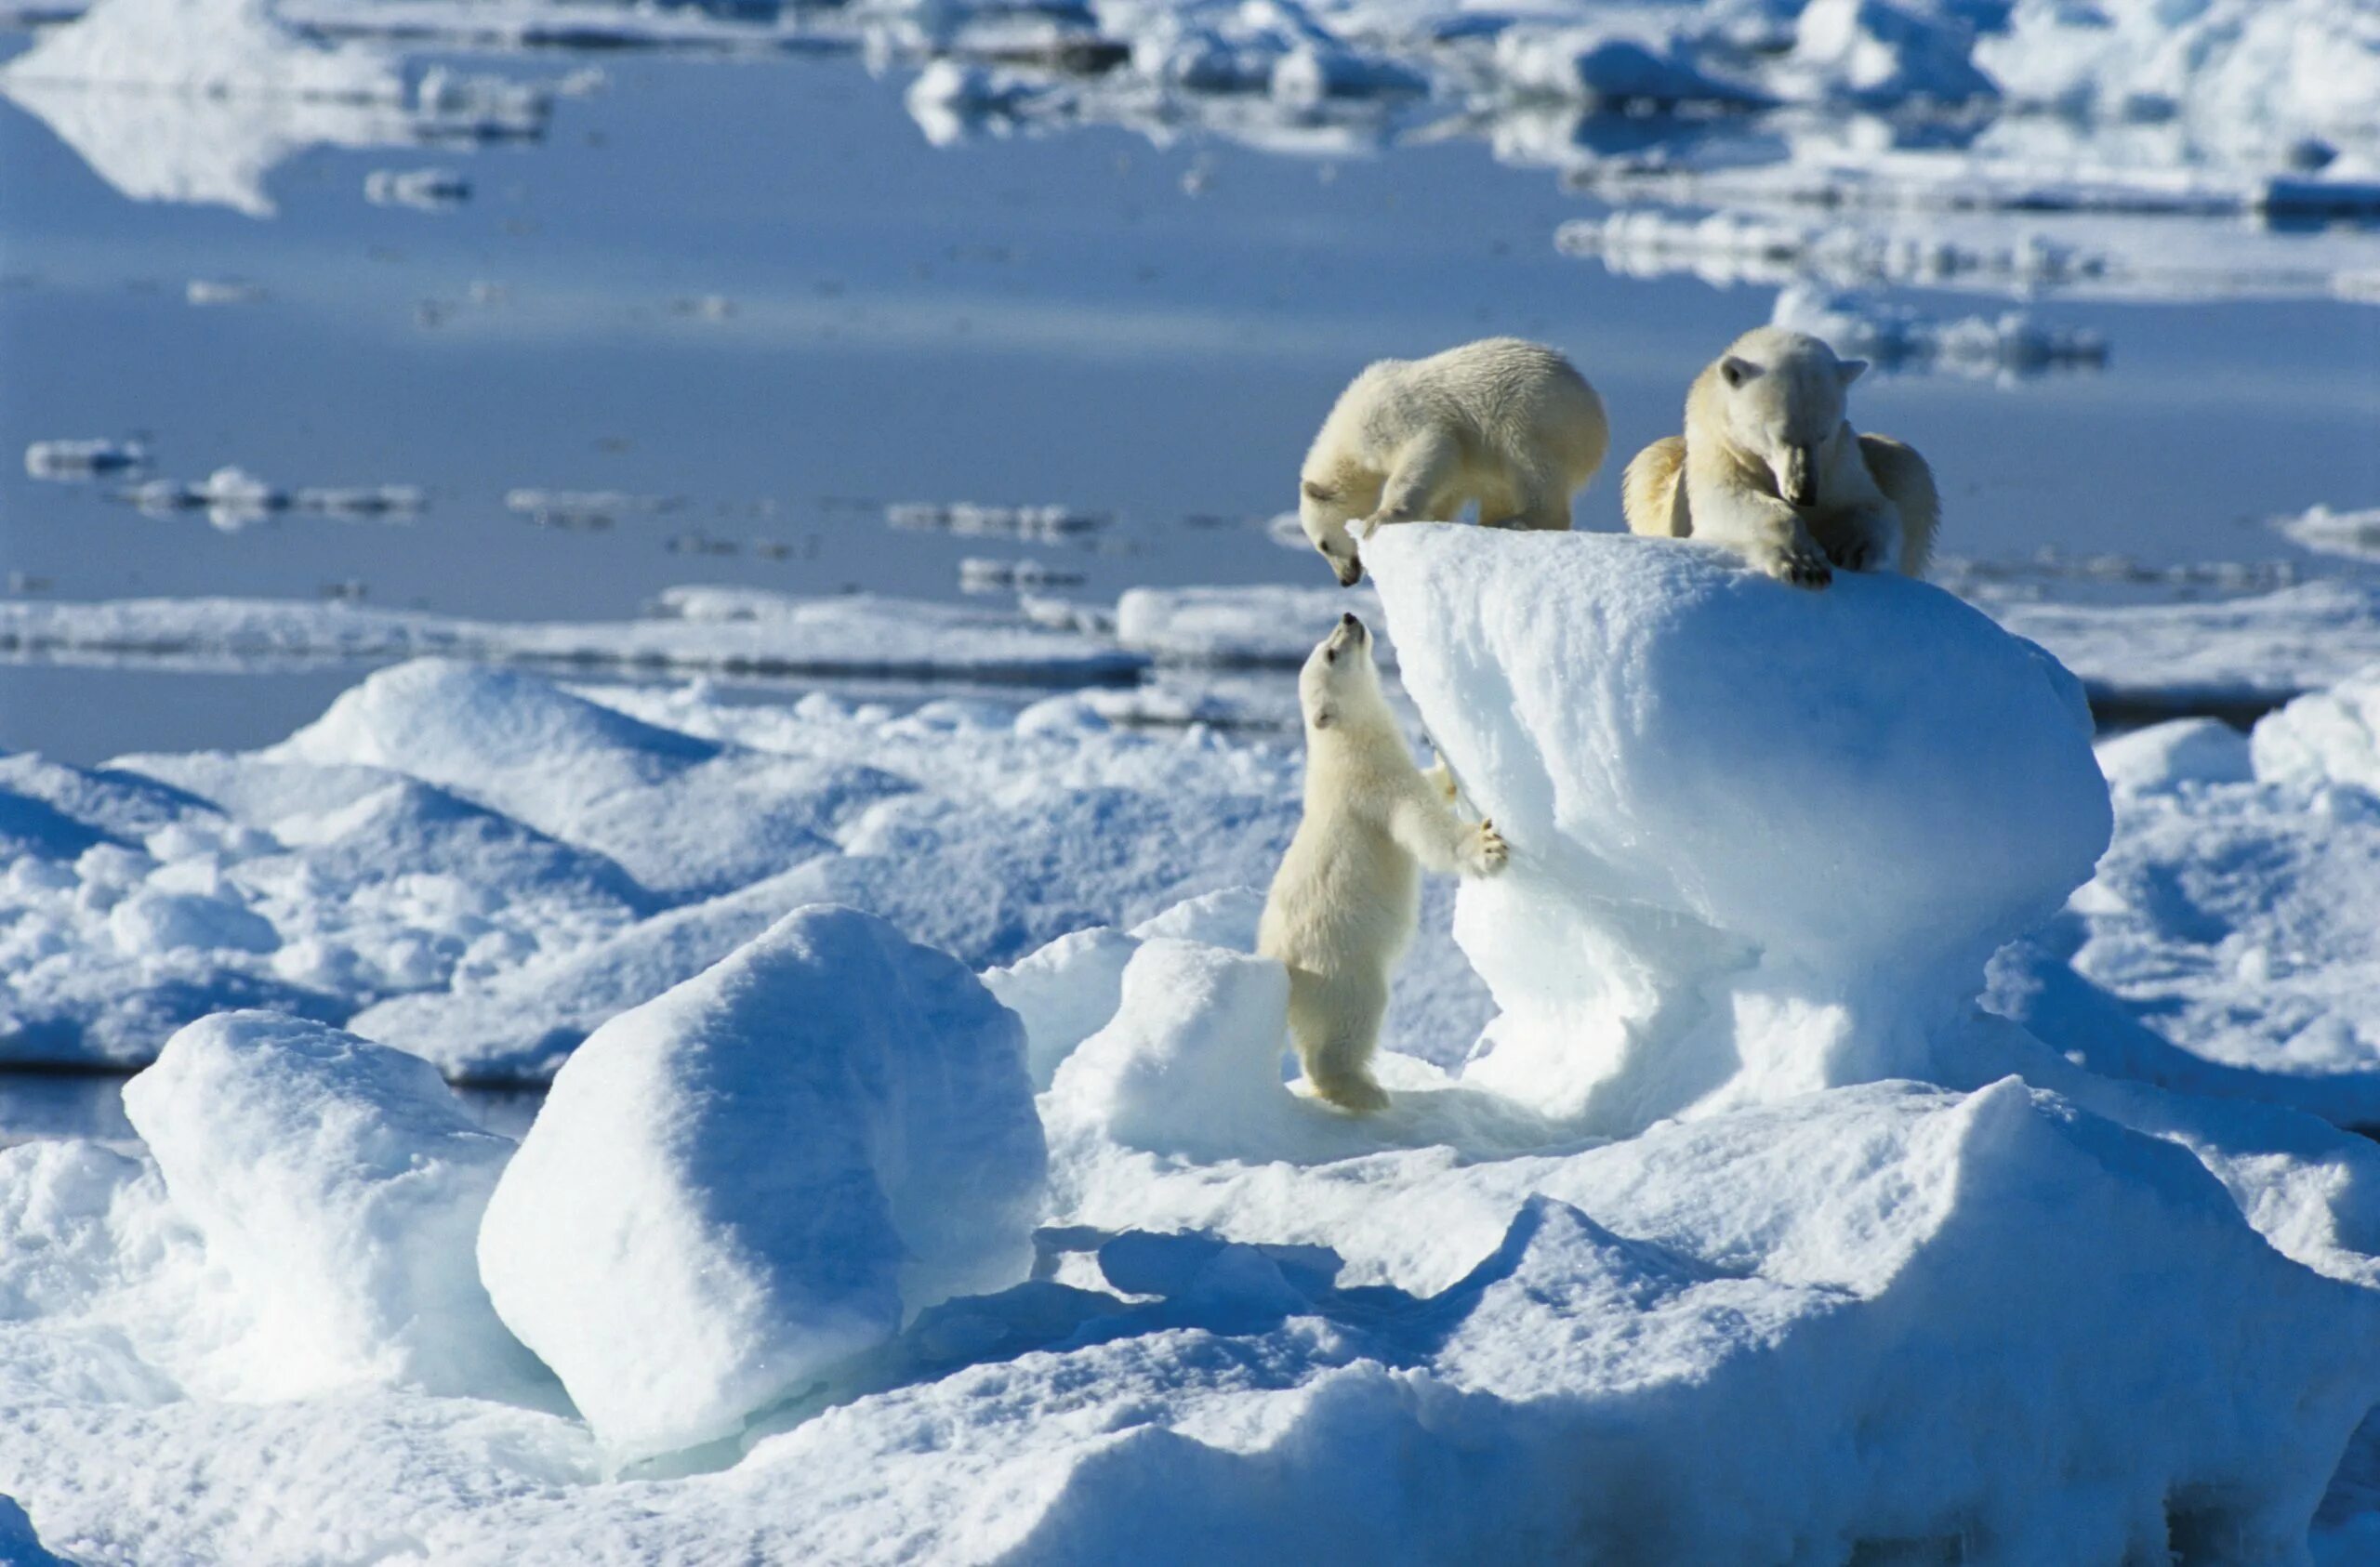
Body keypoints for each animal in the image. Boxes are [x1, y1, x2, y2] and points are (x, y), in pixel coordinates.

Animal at [1247, 613, 1503, 1117]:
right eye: (1330, 652)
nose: (1349, 617)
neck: (1345, 748)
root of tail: (1281, 969)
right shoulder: (1376, 791)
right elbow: (1425, 830)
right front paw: (1486, 845)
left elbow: (1430, 786)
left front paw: (1444, 763)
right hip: (1341, 966)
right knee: (1350, 1022)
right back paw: (1364, 1090)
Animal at [1618, 325, 1932, 589]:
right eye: (1780, 435)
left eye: (1823, 434)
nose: (1803, 493)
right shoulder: (1722, 454)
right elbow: (1732, 500)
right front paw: (1803, 564)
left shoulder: (1838, 464)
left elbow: (1871, 504)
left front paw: (1852, 549)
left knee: (1907, 465)